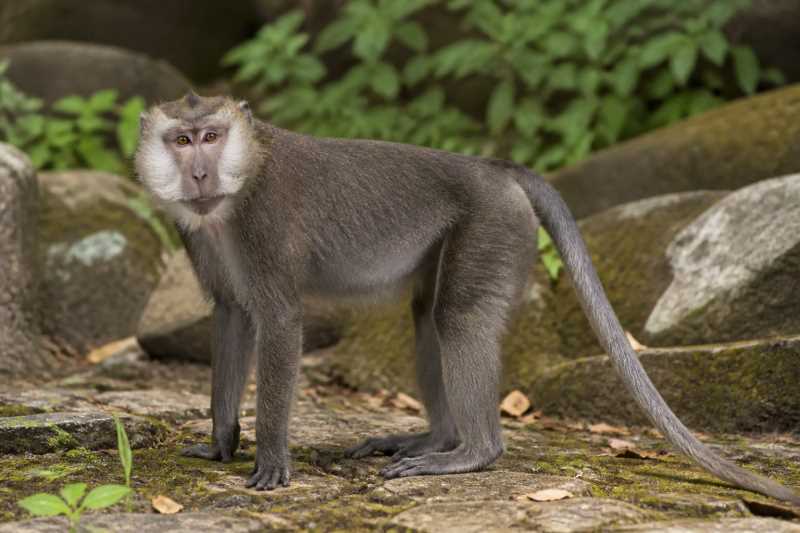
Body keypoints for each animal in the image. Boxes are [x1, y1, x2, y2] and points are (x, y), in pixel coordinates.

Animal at [134, 92, 800, 504]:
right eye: (181, 140)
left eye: (212, 136)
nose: (199, 173)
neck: (233, 192)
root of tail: (493, 168)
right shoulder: (201, 236)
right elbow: (232, 317)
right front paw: (221, 444)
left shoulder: (264, 222)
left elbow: (277, 321)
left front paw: (271, 461)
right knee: (428, 317)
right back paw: (437, 438)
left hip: (492, 225)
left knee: (455, 318)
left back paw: (471, 453)